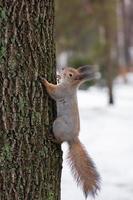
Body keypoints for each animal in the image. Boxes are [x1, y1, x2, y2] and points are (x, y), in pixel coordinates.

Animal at [41, 66, 100, 198]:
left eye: (70, 74)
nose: (62, 68)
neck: (71, 85)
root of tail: (73, 137)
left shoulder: (62, 91)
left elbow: (53, 91)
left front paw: (45, 81)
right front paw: (57, 75)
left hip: (58, 124)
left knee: (60, 141)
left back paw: (54, 139)